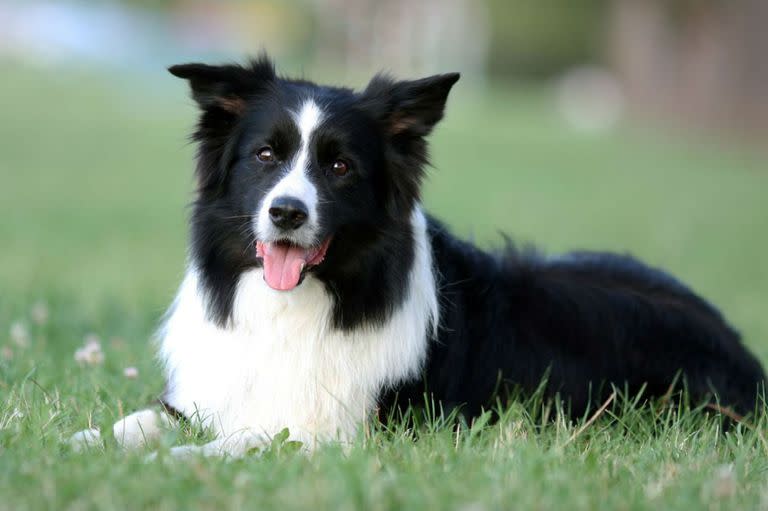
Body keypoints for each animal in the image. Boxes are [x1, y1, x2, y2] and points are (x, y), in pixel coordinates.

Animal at [85, 57, 768, 460]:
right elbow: (135, 423)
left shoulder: (341, 431)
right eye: (265, 156)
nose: (286, 213)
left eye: (340, 166)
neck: (303, 304)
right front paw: (82, 443)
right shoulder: (205, 398)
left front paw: (169, 463)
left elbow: (235, 442)